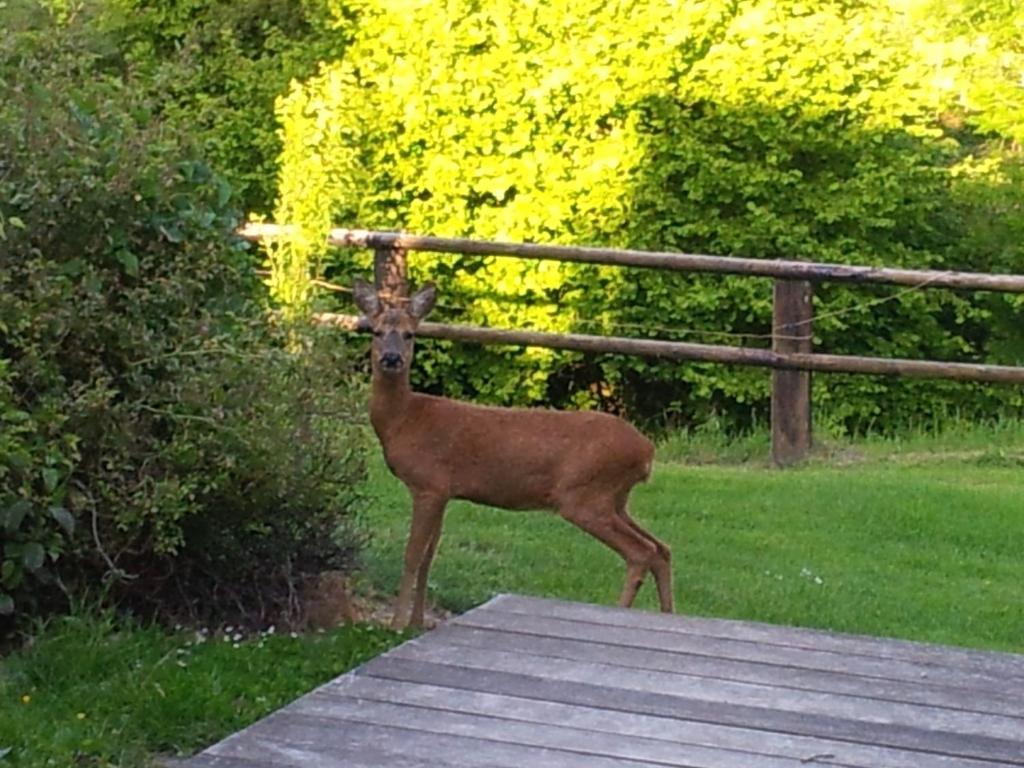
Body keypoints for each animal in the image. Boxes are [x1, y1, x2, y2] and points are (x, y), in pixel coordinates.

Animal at [352, 280, 671, 626]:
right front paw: (416, 622)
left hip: (584, 495)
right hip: (614, 497)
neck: (405, 420)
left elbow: (412, 555)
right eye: (376, 331)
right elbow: (428, 556)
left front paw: (397, 625)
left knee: (641, 551)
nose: (392, 358)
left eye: (410, 334)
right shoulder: (444, 491)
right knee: (661, 548)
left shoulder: (428, 484)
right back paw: (669, 614)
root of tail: (647, 450)